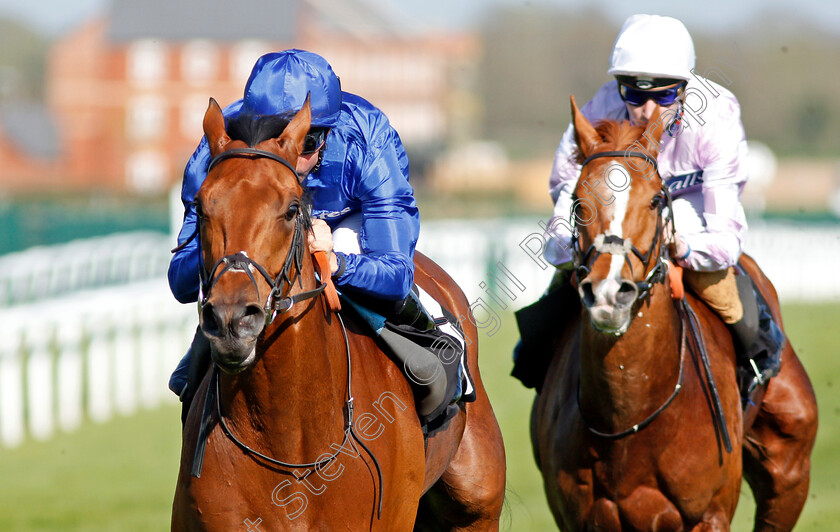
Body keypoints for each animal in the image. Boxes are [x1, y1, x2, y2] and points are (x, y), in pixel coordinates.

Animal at [536, 97, 816, 528]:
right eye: (579, 203)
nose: (609, 293)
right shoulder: (578, 517)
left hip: (789, 469)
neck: (629, 420)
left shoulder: (709, 514)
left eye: (655, 199)